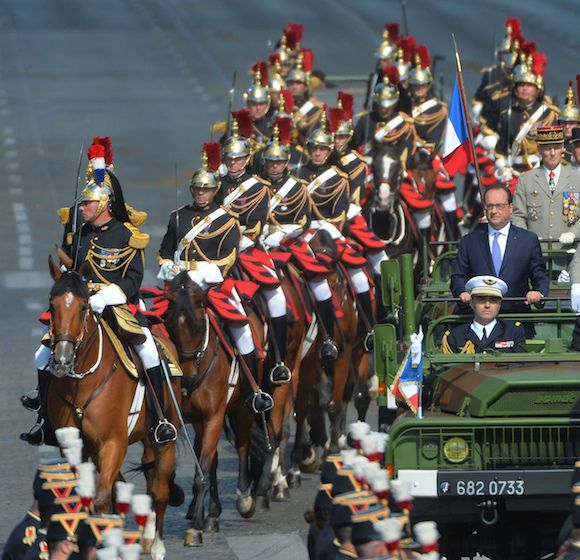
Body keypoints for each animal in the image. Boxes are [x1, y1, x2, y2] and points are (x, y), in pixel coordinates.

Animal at [46, 260, 179, 560]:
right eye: (52, 304)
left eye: (84, 306)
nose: (61, 360)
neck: (81, 381)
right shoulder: (76, 447)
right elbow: (83, 497)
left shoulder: (112, 442)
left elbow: (101, 498)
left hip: (163, 441)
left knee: (159, 490)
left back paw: (157, 545)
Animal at [162, 274, 264, 548]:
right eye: (169, 324)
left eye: (199, 326)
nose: (186, 380)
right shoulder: (188, 420)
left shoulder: (214, 417)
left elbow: (204, 471)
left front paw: (195, 528)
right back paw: (213, 513)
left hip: (243, 409)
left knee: (242, 443)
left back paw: (244, 498)